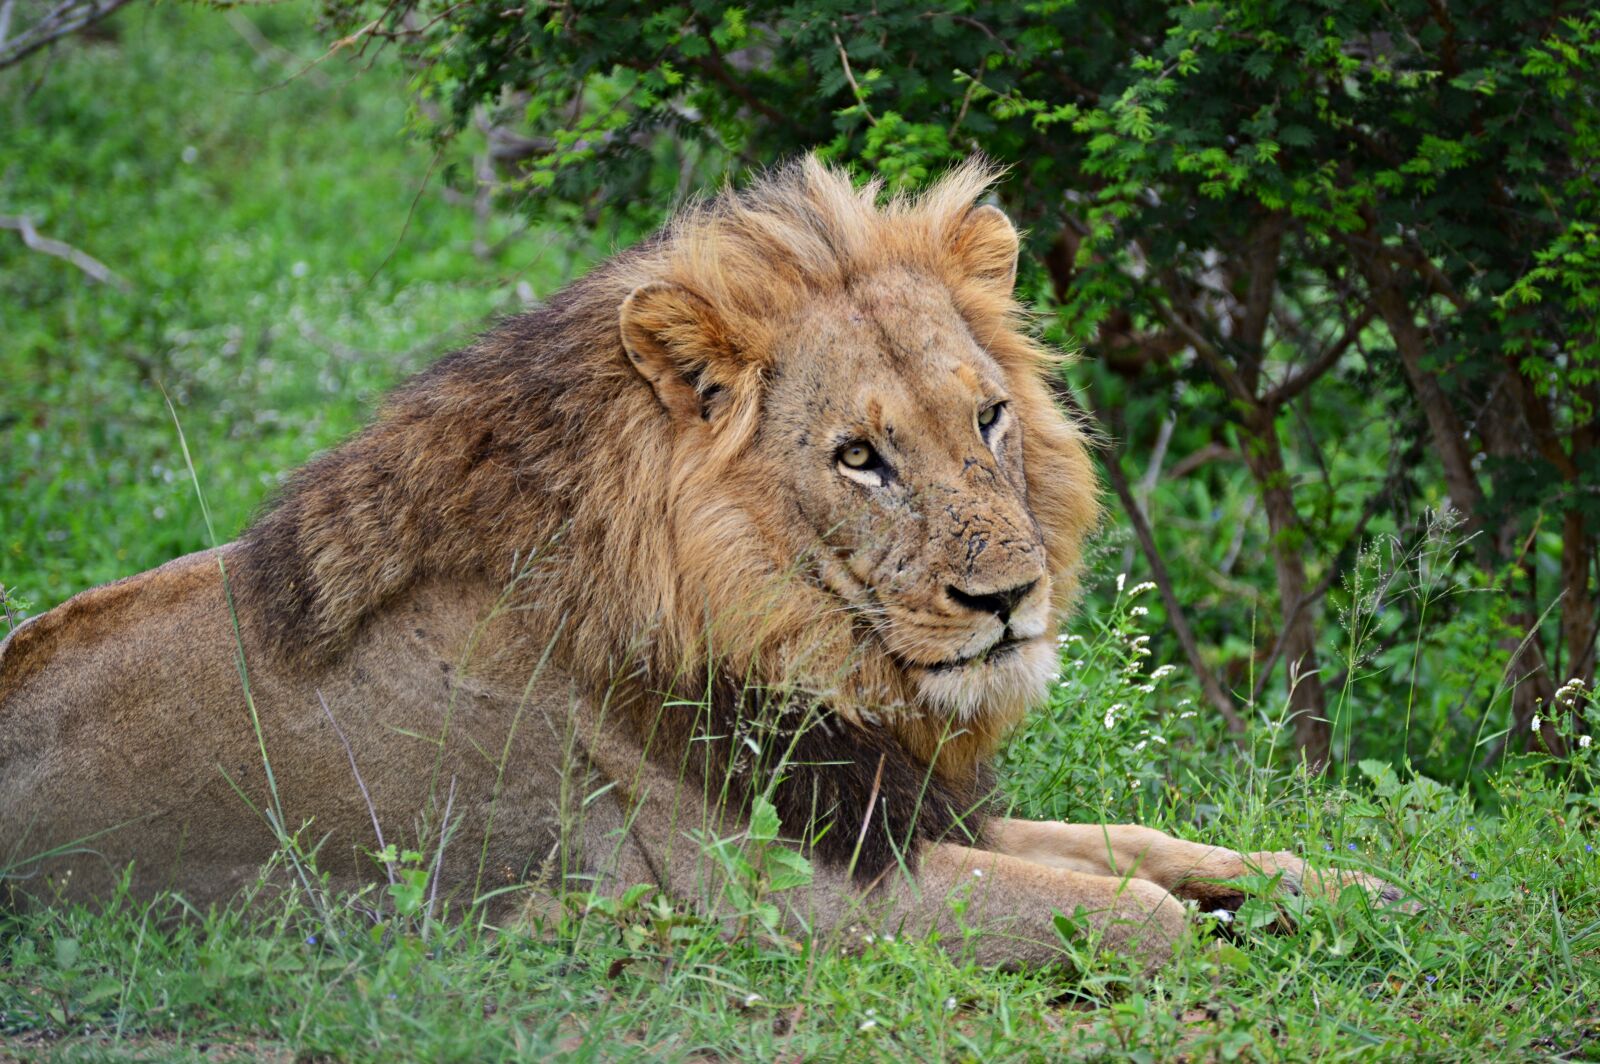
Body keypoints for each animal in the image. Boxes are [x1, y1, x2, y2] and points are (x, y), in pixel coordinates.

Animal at [0, 157, 1405, 968]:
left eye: (989, 418)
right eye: (858, 457)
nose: (1009, 600)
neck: (783, 635)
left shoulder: (893, 804)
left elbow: (1151, 842)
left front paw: (1352, 884)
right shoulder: (779, 890)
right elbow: (1130, 908)